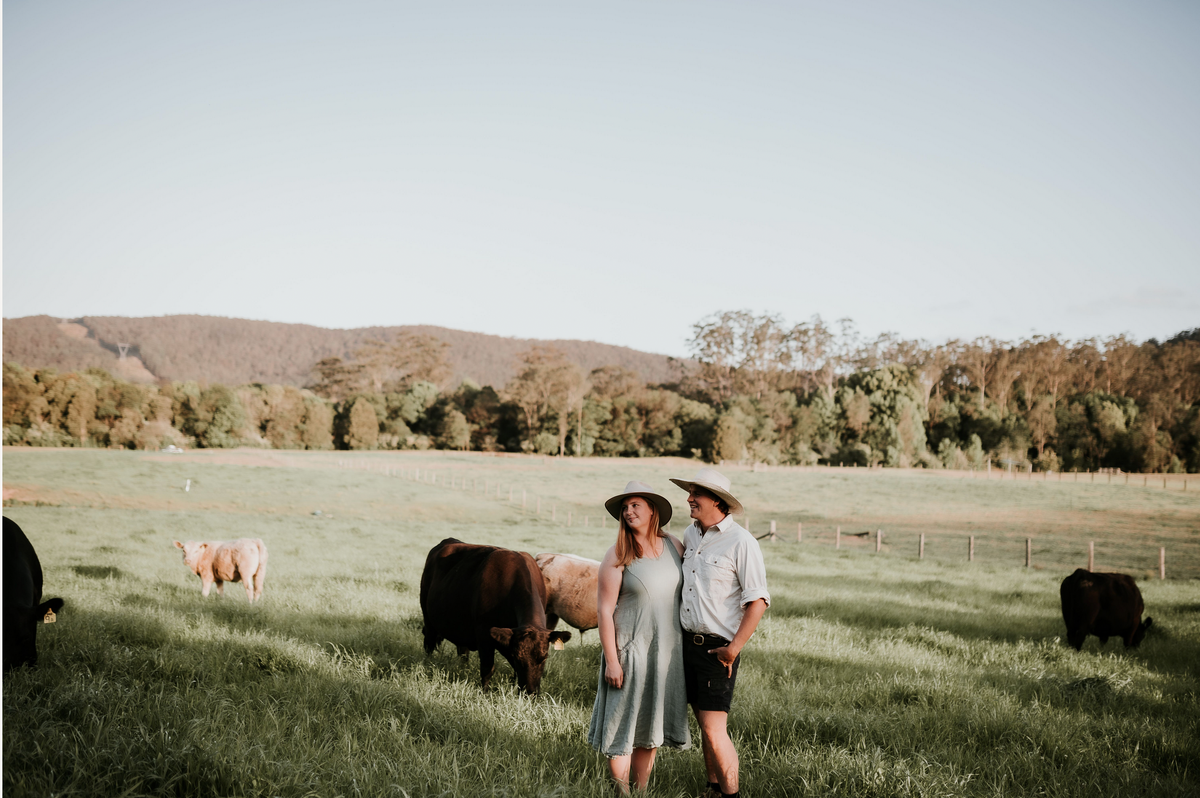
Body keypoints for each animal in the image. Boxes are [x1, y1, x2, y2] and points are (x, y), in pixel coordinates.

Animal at [422, 537, 571, 696]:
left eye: (544, 657)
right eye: (518, 658)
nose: (530, 692)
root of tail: (448, 541)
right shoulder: (484, 635)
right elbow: (488, 668)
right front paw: (485, 693)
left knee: (462, 651)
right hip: (428, 617)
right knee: (429, 643)